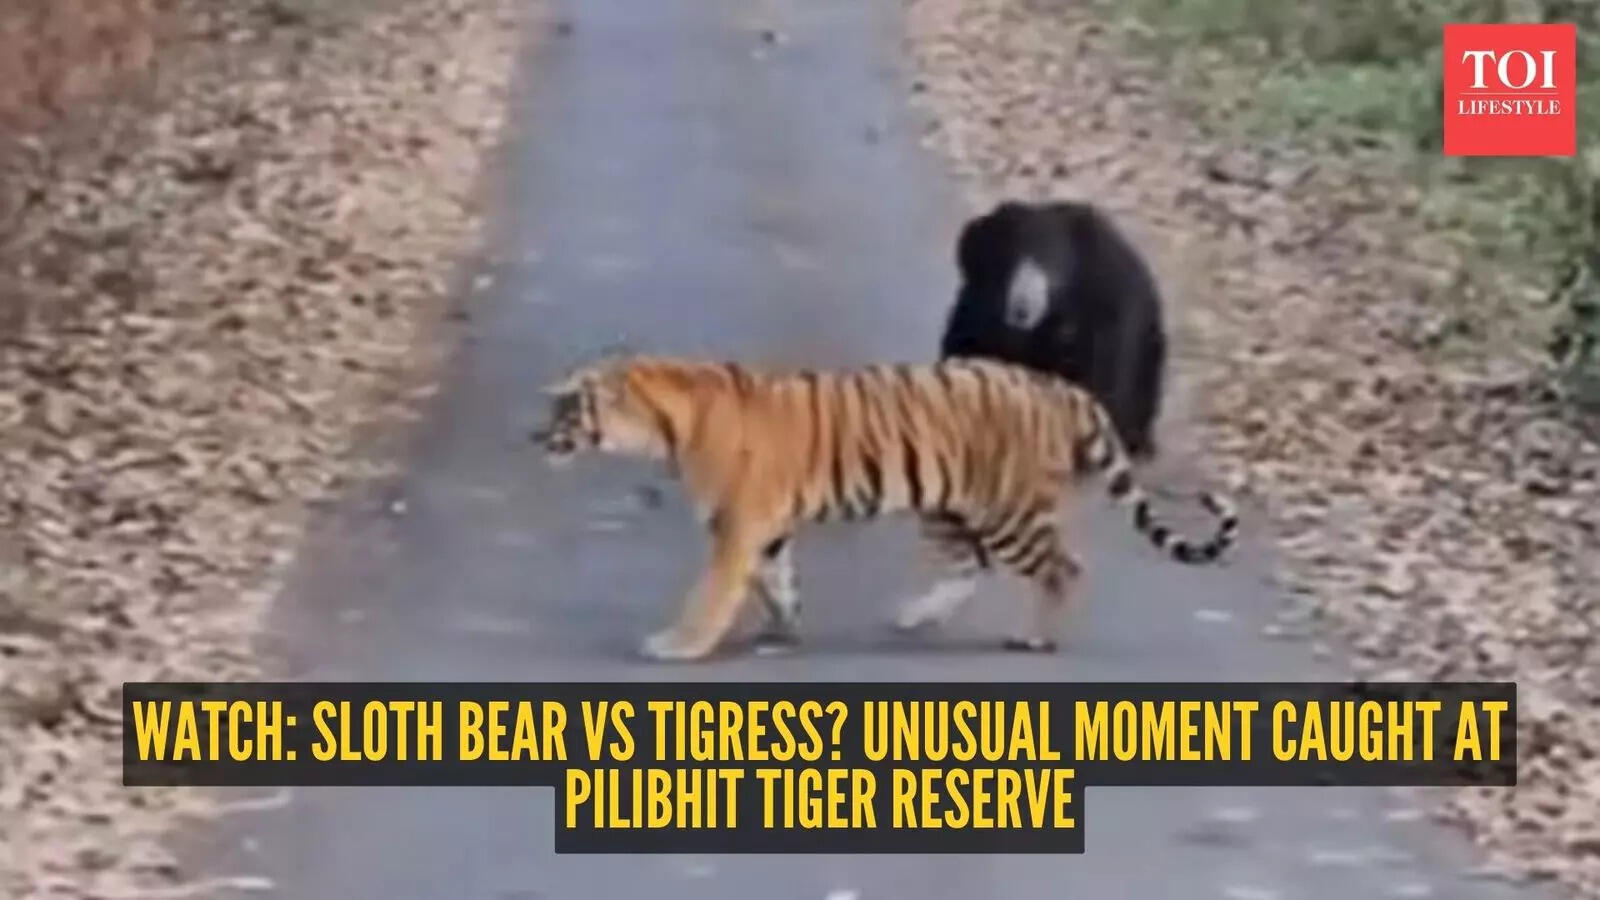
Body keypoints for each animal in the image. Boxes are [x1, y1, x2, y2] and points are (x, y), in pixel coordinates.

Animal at [530, 350, 1238, 662]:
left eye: (565, 406)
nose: (534, 436)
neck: (665, 427)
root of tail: (1058, 387)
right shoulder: (766, 528)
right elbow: (774, 580)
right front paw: (782, 629)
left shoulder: (738, 525)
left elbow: (710, 592)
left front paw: (678, 644)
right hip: (951, 507)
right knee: (971, 565)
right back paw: (913, 616)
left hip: (1007, 509)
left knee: (1062, 567)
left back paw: (1036, 637)